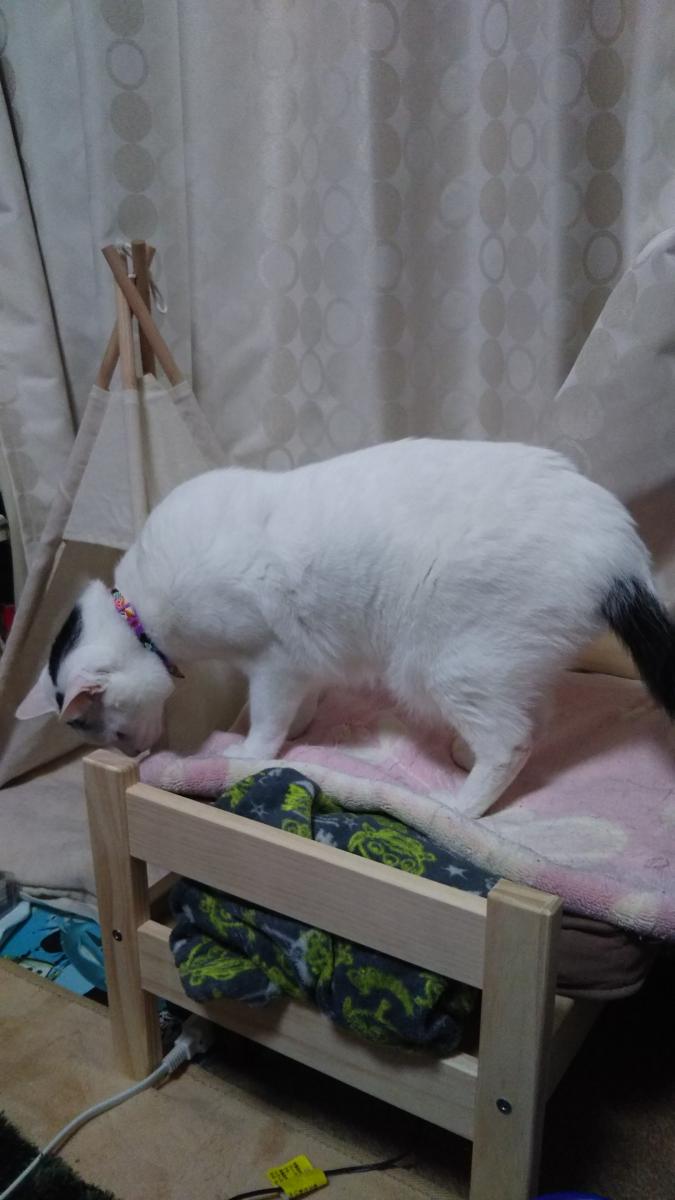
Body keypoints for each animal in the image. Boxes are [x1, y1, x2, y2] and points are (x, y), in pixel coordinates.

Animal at [16, 438, 675, 818]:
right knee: (536, 719)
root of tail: (621, 555)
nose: (138, 753)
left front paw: (249, 753)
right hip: (505, 667)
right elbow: (300, 704)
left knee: (511, 744)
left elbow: (266, 721)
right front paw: (305, 726)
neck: (143, 611)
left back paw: (457, 808)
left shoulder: (272, 661)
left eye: (113, 732)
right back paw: (463, 755)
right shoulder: (299, 661)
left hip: (446, 665)